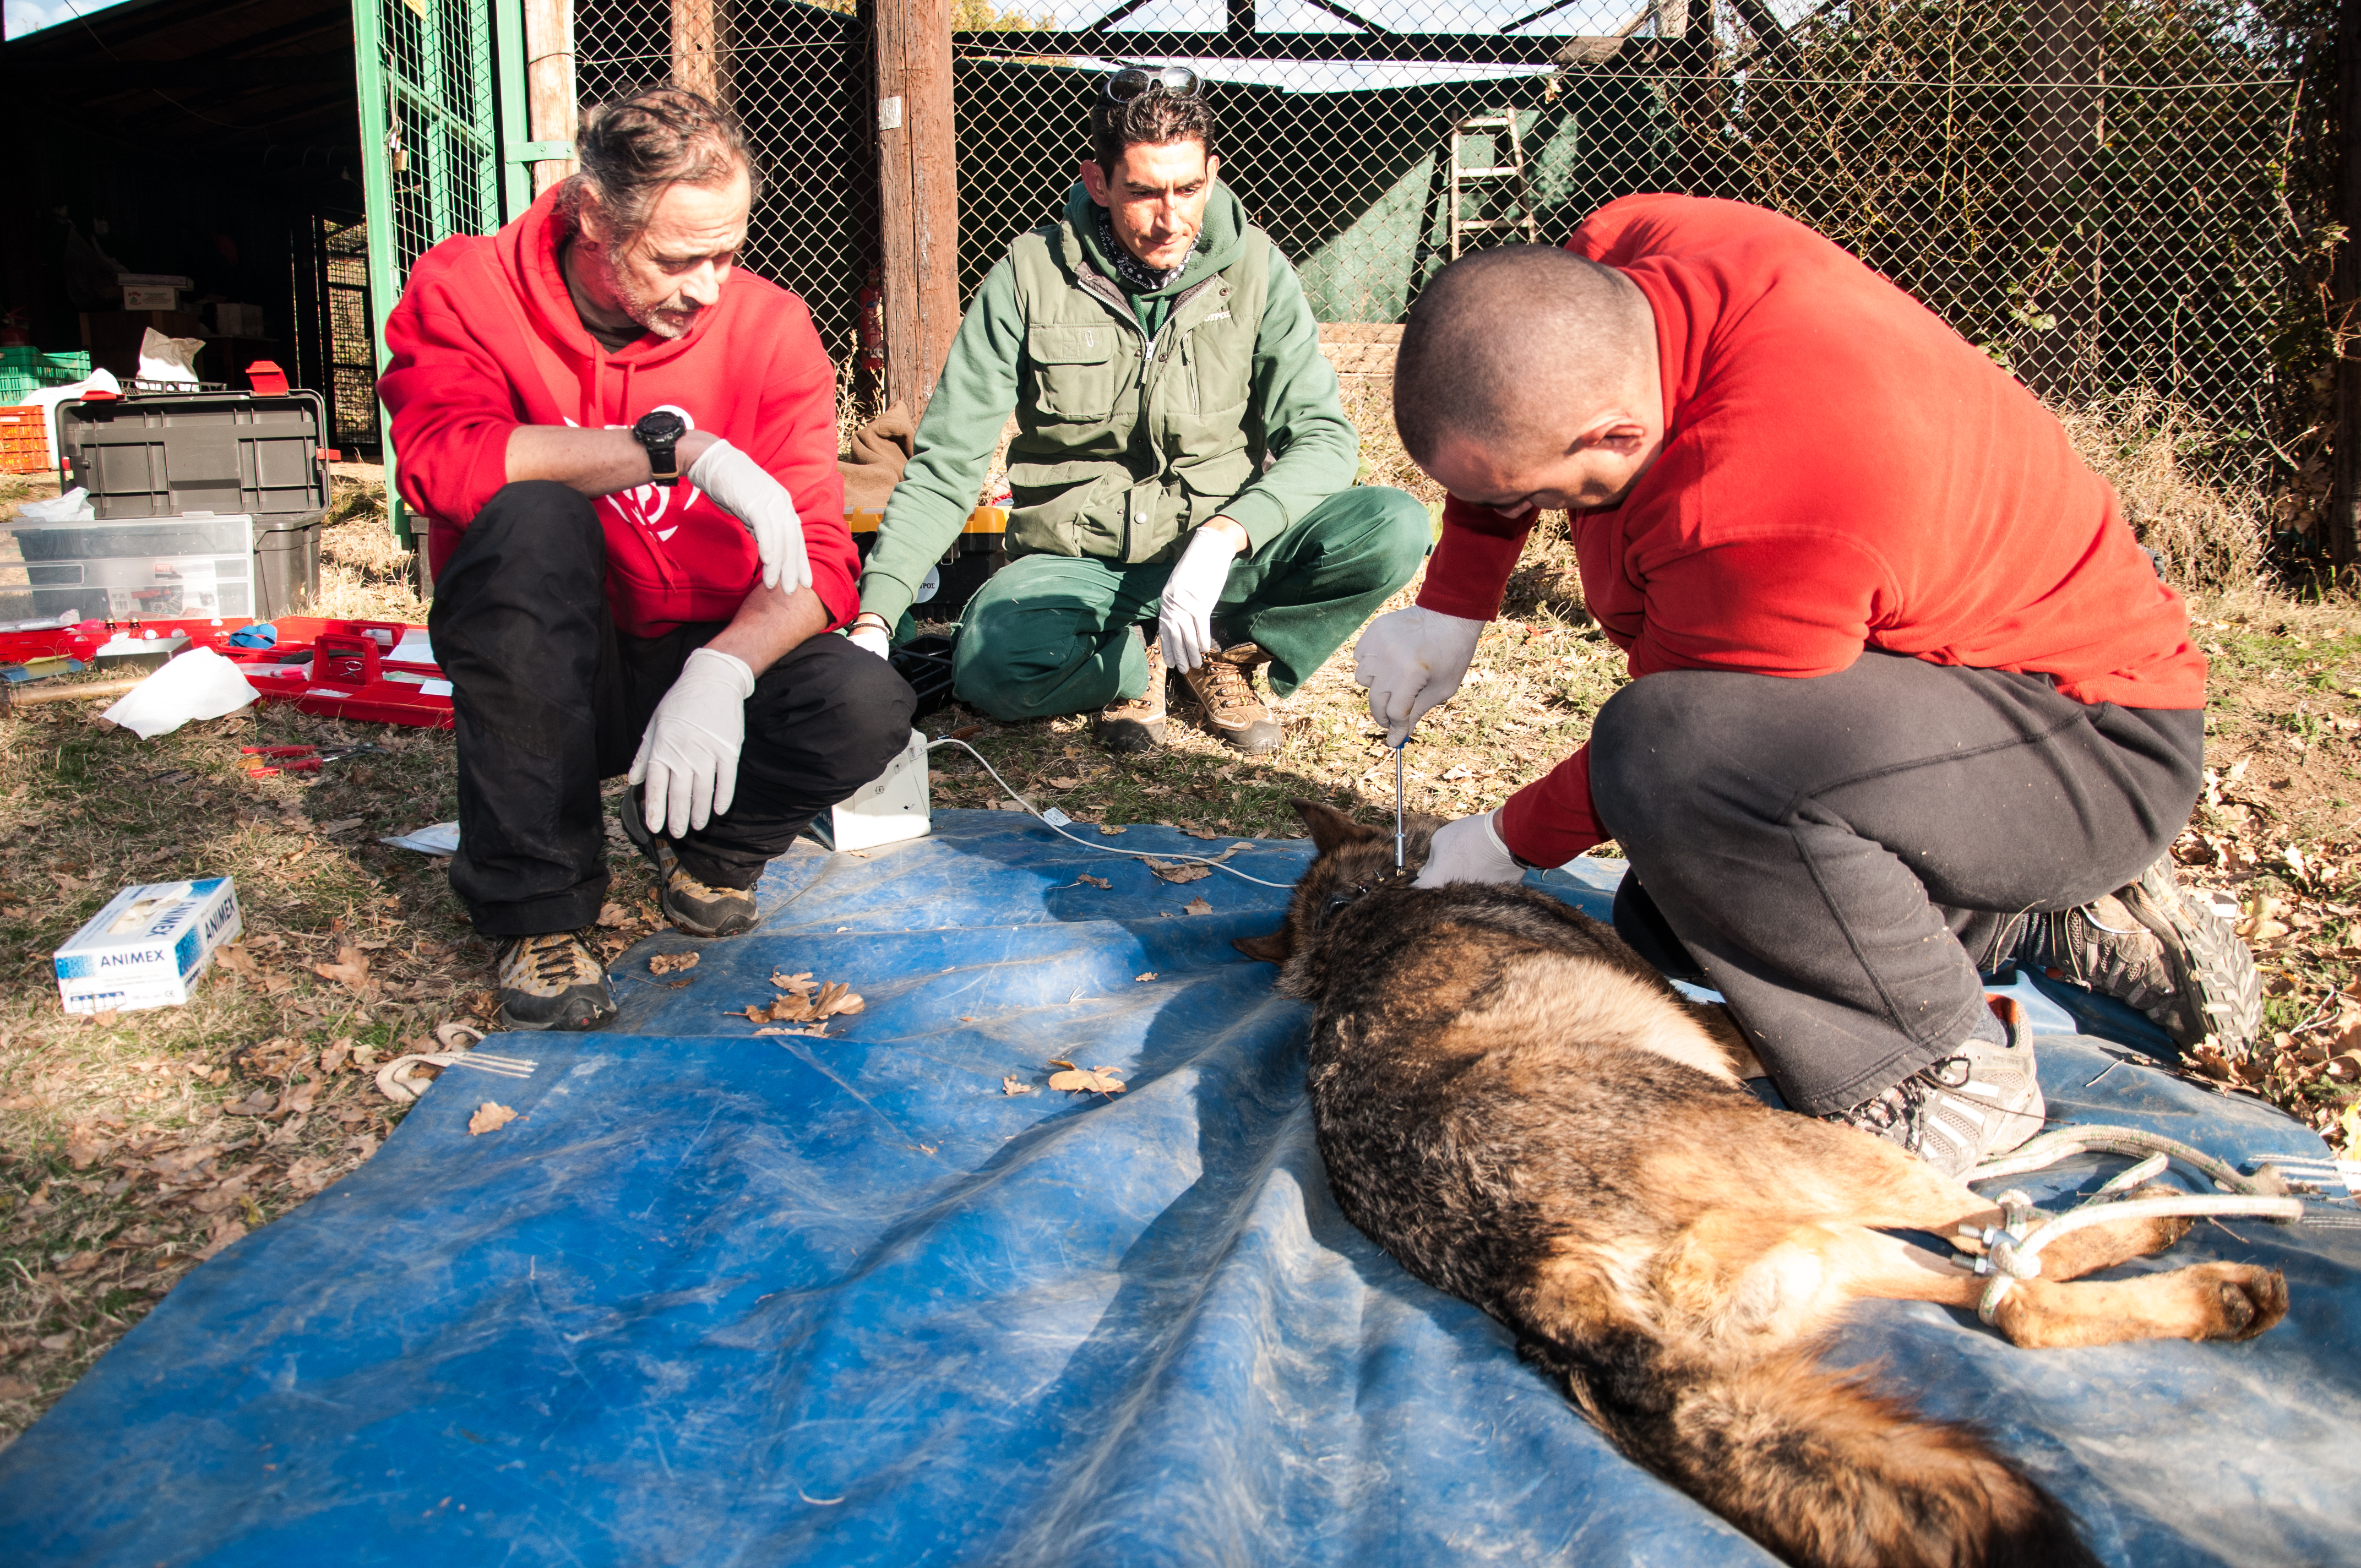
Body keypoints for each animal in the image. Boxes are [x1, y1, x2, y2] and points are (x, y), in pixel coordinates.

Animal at [1237, 807, 2285, 1567]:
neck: (1352, 916)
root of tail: (1538, 1270)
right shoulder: (1733, 1042)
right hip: (1833, 1161)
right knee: (1998, 1244)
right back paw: (2171, 1219)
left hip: (1826, 1245)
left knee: (2011, 1305)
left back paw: (2216, 1289)